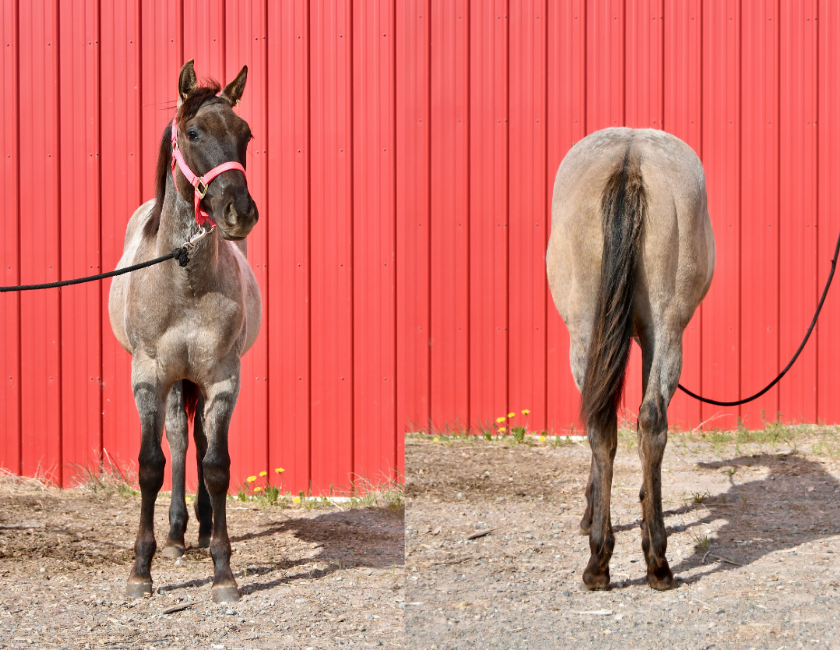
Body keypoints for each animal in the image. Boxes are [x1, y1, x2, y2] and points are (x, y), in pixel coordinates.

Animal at [108, 60, 261, 603]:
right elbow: (150, 464)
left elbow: (217, 466)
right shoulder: (148, 376)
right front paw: (141, 570)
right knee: (176, 436)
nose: (240, 212)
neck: (183, 278)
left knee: (195, 439)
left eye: (245, 134)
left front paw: (223, 571)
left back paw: (199, 526)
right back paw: (175, 534)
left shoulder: (223, 379)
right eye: (192, 133)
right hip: (174, 380)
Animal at [546, 127, 715, 591]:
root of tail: (629, 157)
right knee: (645, 421)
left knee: (607, 424)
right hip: (661, 329)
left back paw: (603, 560)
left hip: (594, 333)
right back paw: (650, 560)